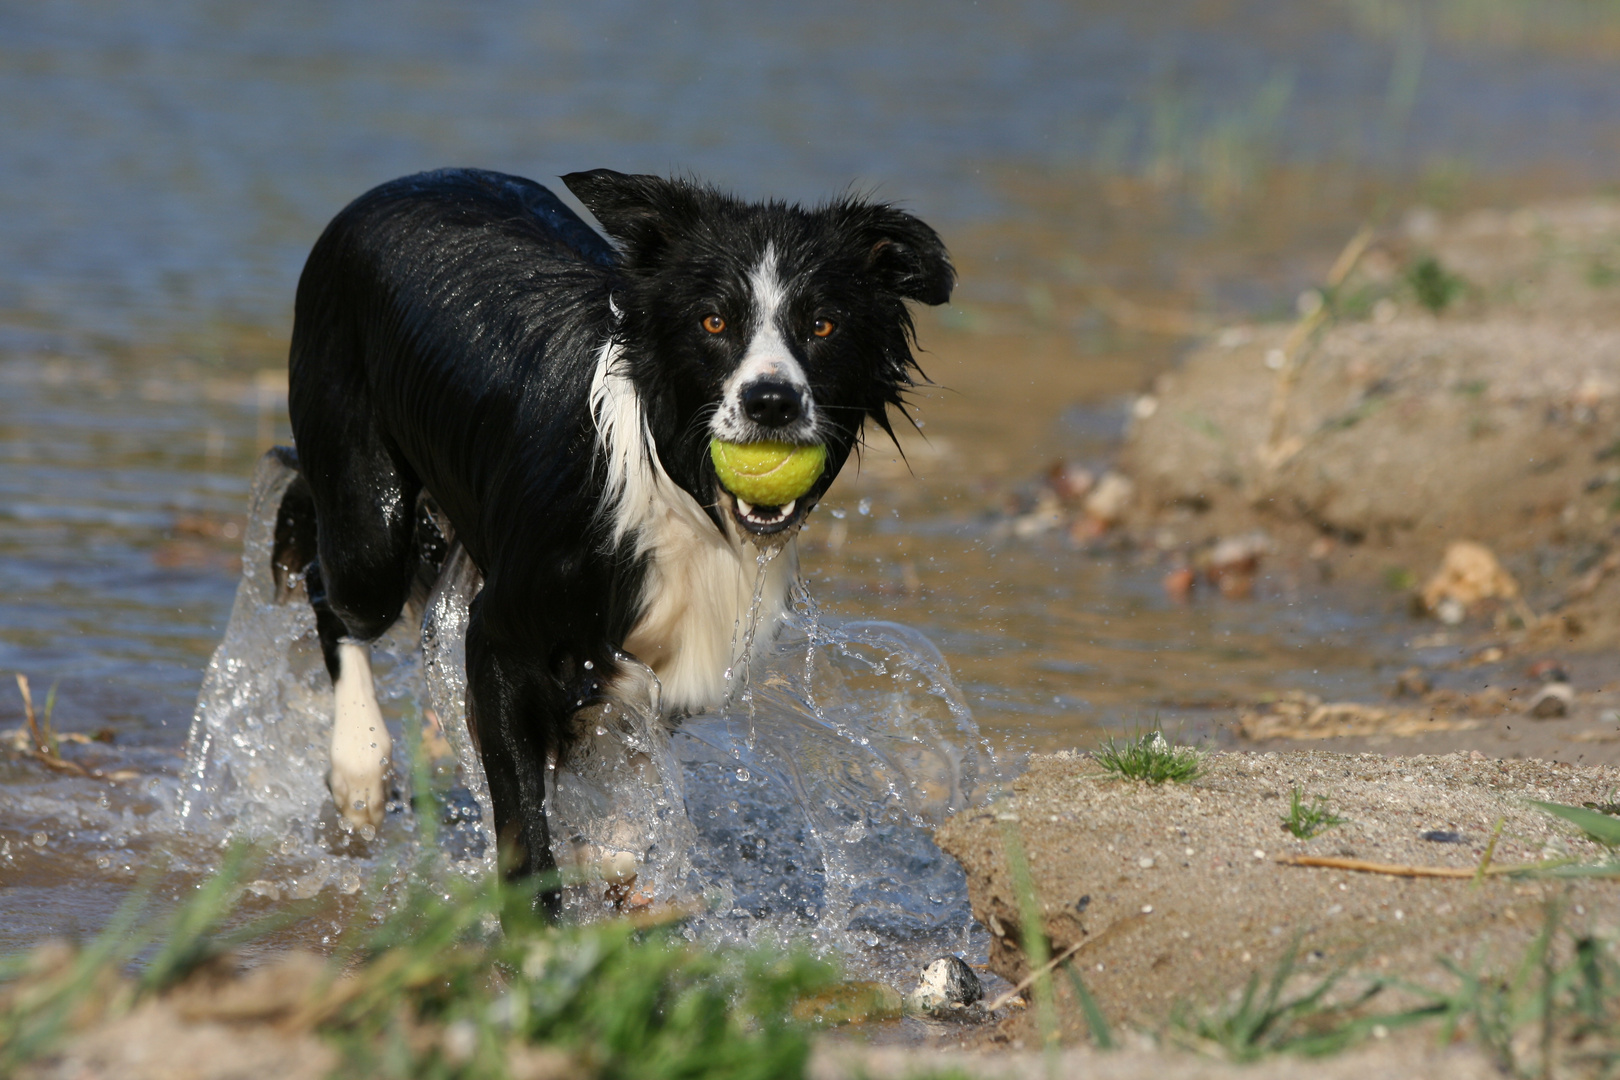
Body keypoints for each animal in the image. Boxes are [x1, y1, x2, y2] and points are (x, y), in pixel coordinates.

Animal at [268, 169, 946, 906]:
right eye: (713, 321)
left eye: (822, 324)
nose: (771, 402)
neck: (681, 500)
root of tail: (391, 187)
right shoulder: (502, 639)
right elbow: (525, 829)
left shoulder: (671, 667)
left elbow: (617, 814)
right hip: (368, 525)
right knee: (327, 569)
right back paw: (359, 763)